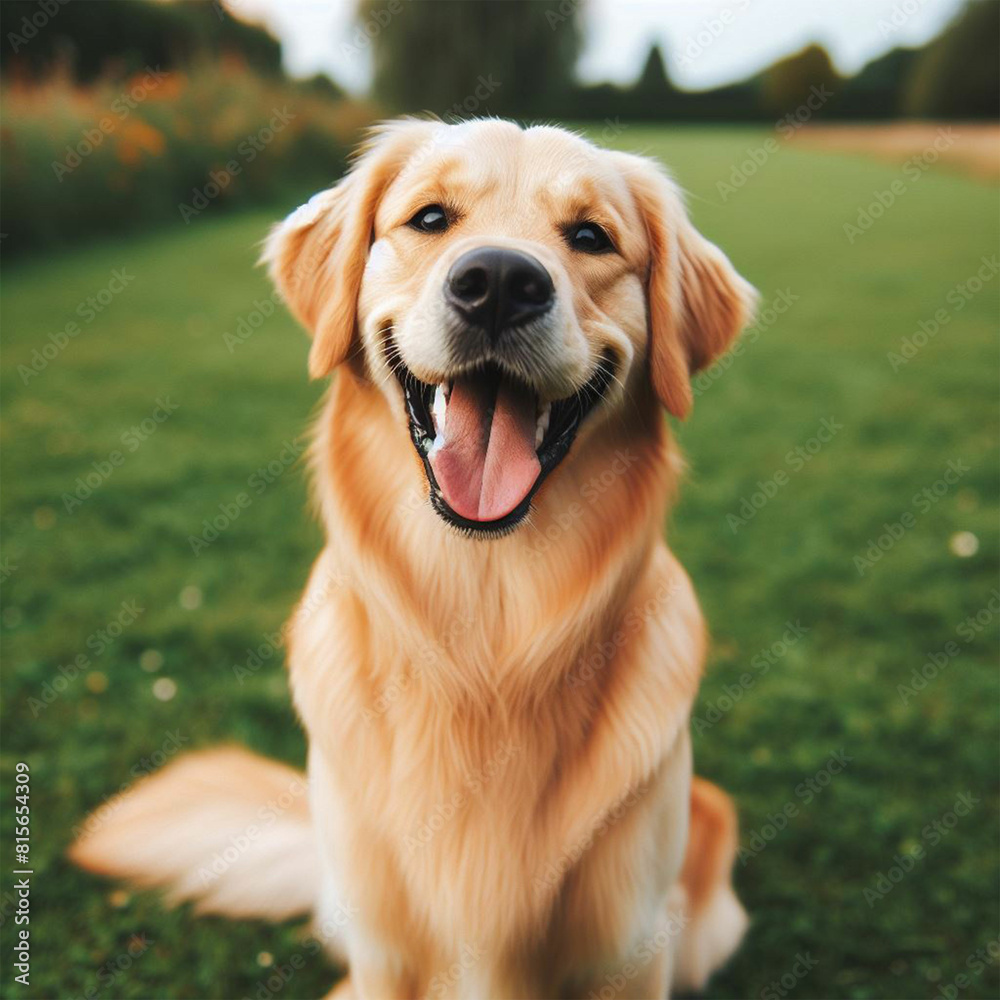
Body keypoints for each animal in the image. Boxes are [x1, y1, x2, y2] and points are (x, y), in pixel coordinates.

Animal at [70, 119, 752, 1000]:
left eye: (591, 236)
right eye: (430, 218)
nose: (499, 282)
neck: (486, 629)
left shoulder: (628, 948)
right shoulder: (386, 948)